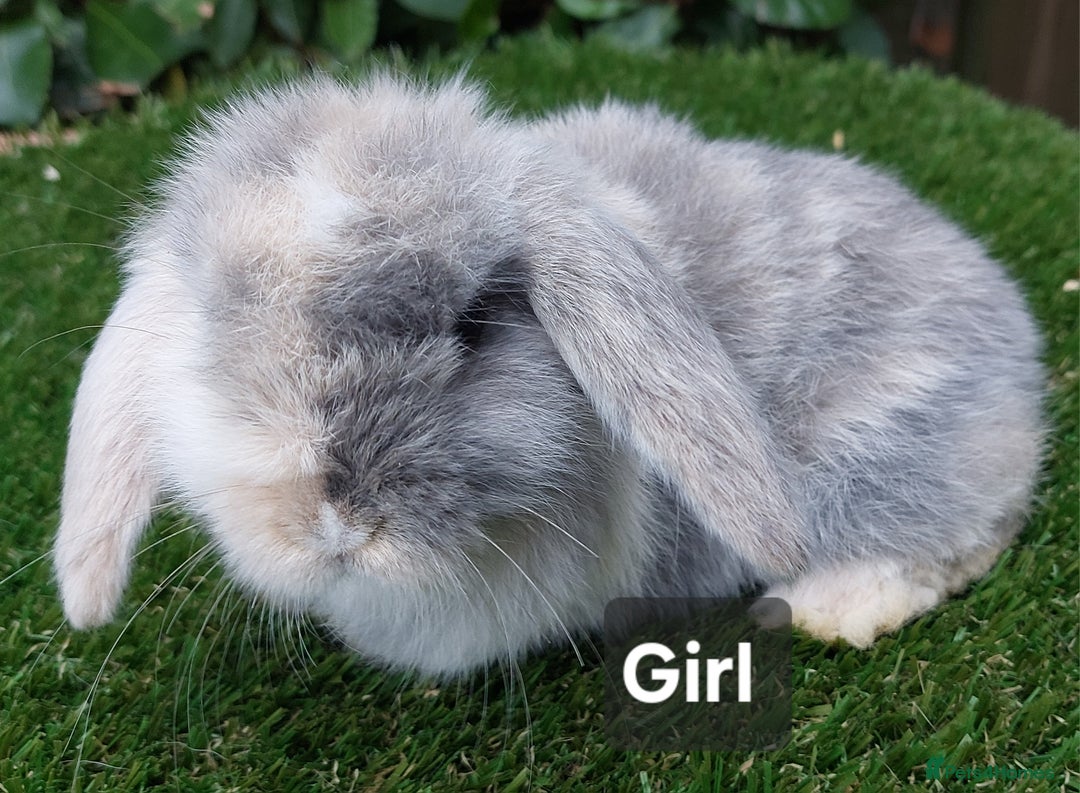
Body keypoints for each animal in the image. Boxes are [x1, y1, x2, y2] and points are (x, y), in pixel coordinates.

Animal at [54, 74, 1044, 677]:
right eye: (216, 329)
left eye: (475, 324)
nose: (335, 523)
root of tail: (1021, 349)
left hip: (881, 448)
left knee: (959, 537)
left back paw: (819, 607)